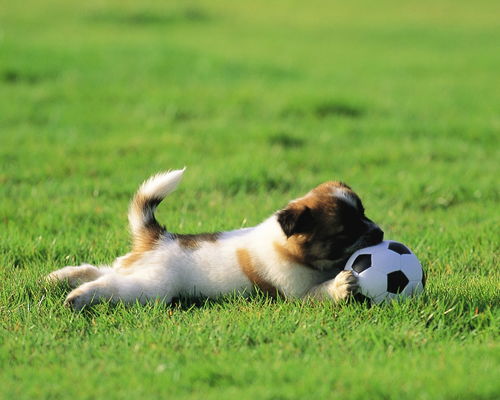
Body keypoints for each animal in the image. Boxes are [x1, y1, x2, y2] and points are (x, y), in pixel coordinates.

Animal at [47, 169, 382, 310]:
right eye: (344, 232)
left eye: (364, 213)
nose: (379, 233)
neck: (289, 247)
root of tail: (159, 238)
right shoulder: (297, 294)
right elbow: (322, 291)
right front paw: (341, 285)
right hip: (153, 286)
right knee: (111, 284)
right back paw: (79, 296)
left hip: (136, 268)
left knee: (101, 270)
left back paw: (59, 278)